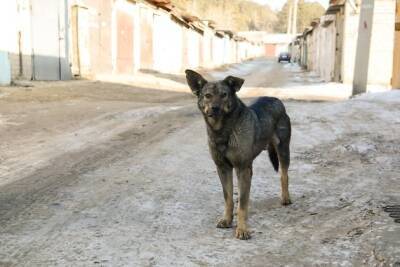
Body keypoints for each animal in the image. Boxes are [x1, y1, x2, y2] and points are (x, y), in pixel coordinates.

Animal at [186, 69, 292, 241]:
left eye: (224, 94)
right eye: (208, 95)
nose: (215, 108)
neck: (223, 131)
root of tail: (274, 99)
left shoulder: (242, 168)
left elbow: (242, 204)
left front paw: (242, 229)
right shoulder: (223, 168)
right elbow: (228, 198)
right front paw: (227, 220)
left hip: (283, 149)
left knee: (284, 174)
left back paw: (285, 198)